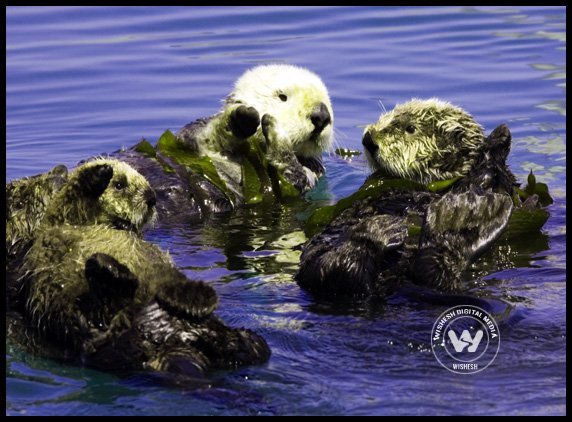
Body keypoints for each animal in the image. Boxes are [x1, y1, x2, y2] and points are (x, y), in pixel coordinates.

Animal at [13, 160, 270, 378]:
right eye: (119, 184)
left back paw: (202, 301)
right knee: (105, 310)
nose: (151, 197)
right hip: (86, 315)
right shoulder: (63, 214)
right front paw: (99, 173)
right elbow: (71, 197)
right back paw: (113, 273)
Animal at [294, 98, 524, 296]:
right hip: (315, 267)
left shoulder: (502, 184)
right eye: (387, 117)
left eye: (411, 128)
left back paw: (459, 218)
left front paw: (499, 138)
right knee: (340, 270)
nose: (369, 139)